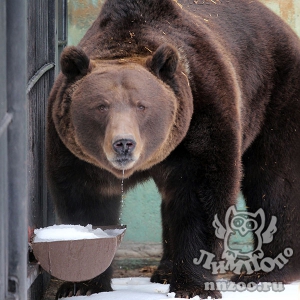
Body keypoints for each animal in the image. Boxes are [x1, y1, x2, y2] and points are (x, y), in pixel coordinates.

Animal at [46, 0, 300, 298]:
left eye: (141, 105)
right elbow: (85, 203)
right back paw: (165, 271)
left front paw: (194, 285)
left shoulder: (203, 113)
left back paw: (264, 272)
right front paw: (83, 285)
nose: (124, 143)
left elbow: (202, 199)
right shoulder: (74, 152)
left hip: (276, 95)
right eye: (101, 106)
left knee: (274, 182)